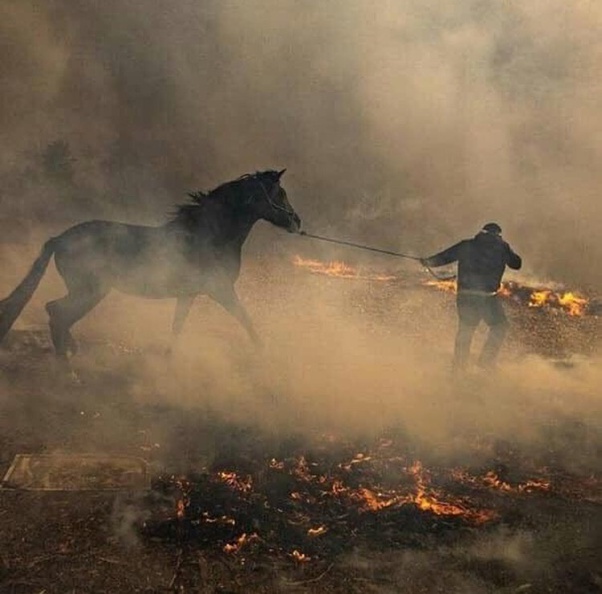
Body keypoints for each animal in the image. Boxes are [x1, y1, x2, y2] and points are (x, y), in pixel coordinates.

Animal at [0, 169, 300, 358]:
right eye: (280, 194)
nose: (296, 222)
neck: (209, 234)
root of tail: (59, 239)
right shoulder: (221, 290)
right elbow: (245, 319)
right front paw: (263, 353)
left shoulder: (188, 294)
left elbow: (177, 326)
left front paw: (168, 359)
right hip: (90, 290)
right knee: (58, 314)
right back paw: (68, 367)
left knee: (56, 313)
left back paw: (72, 353)